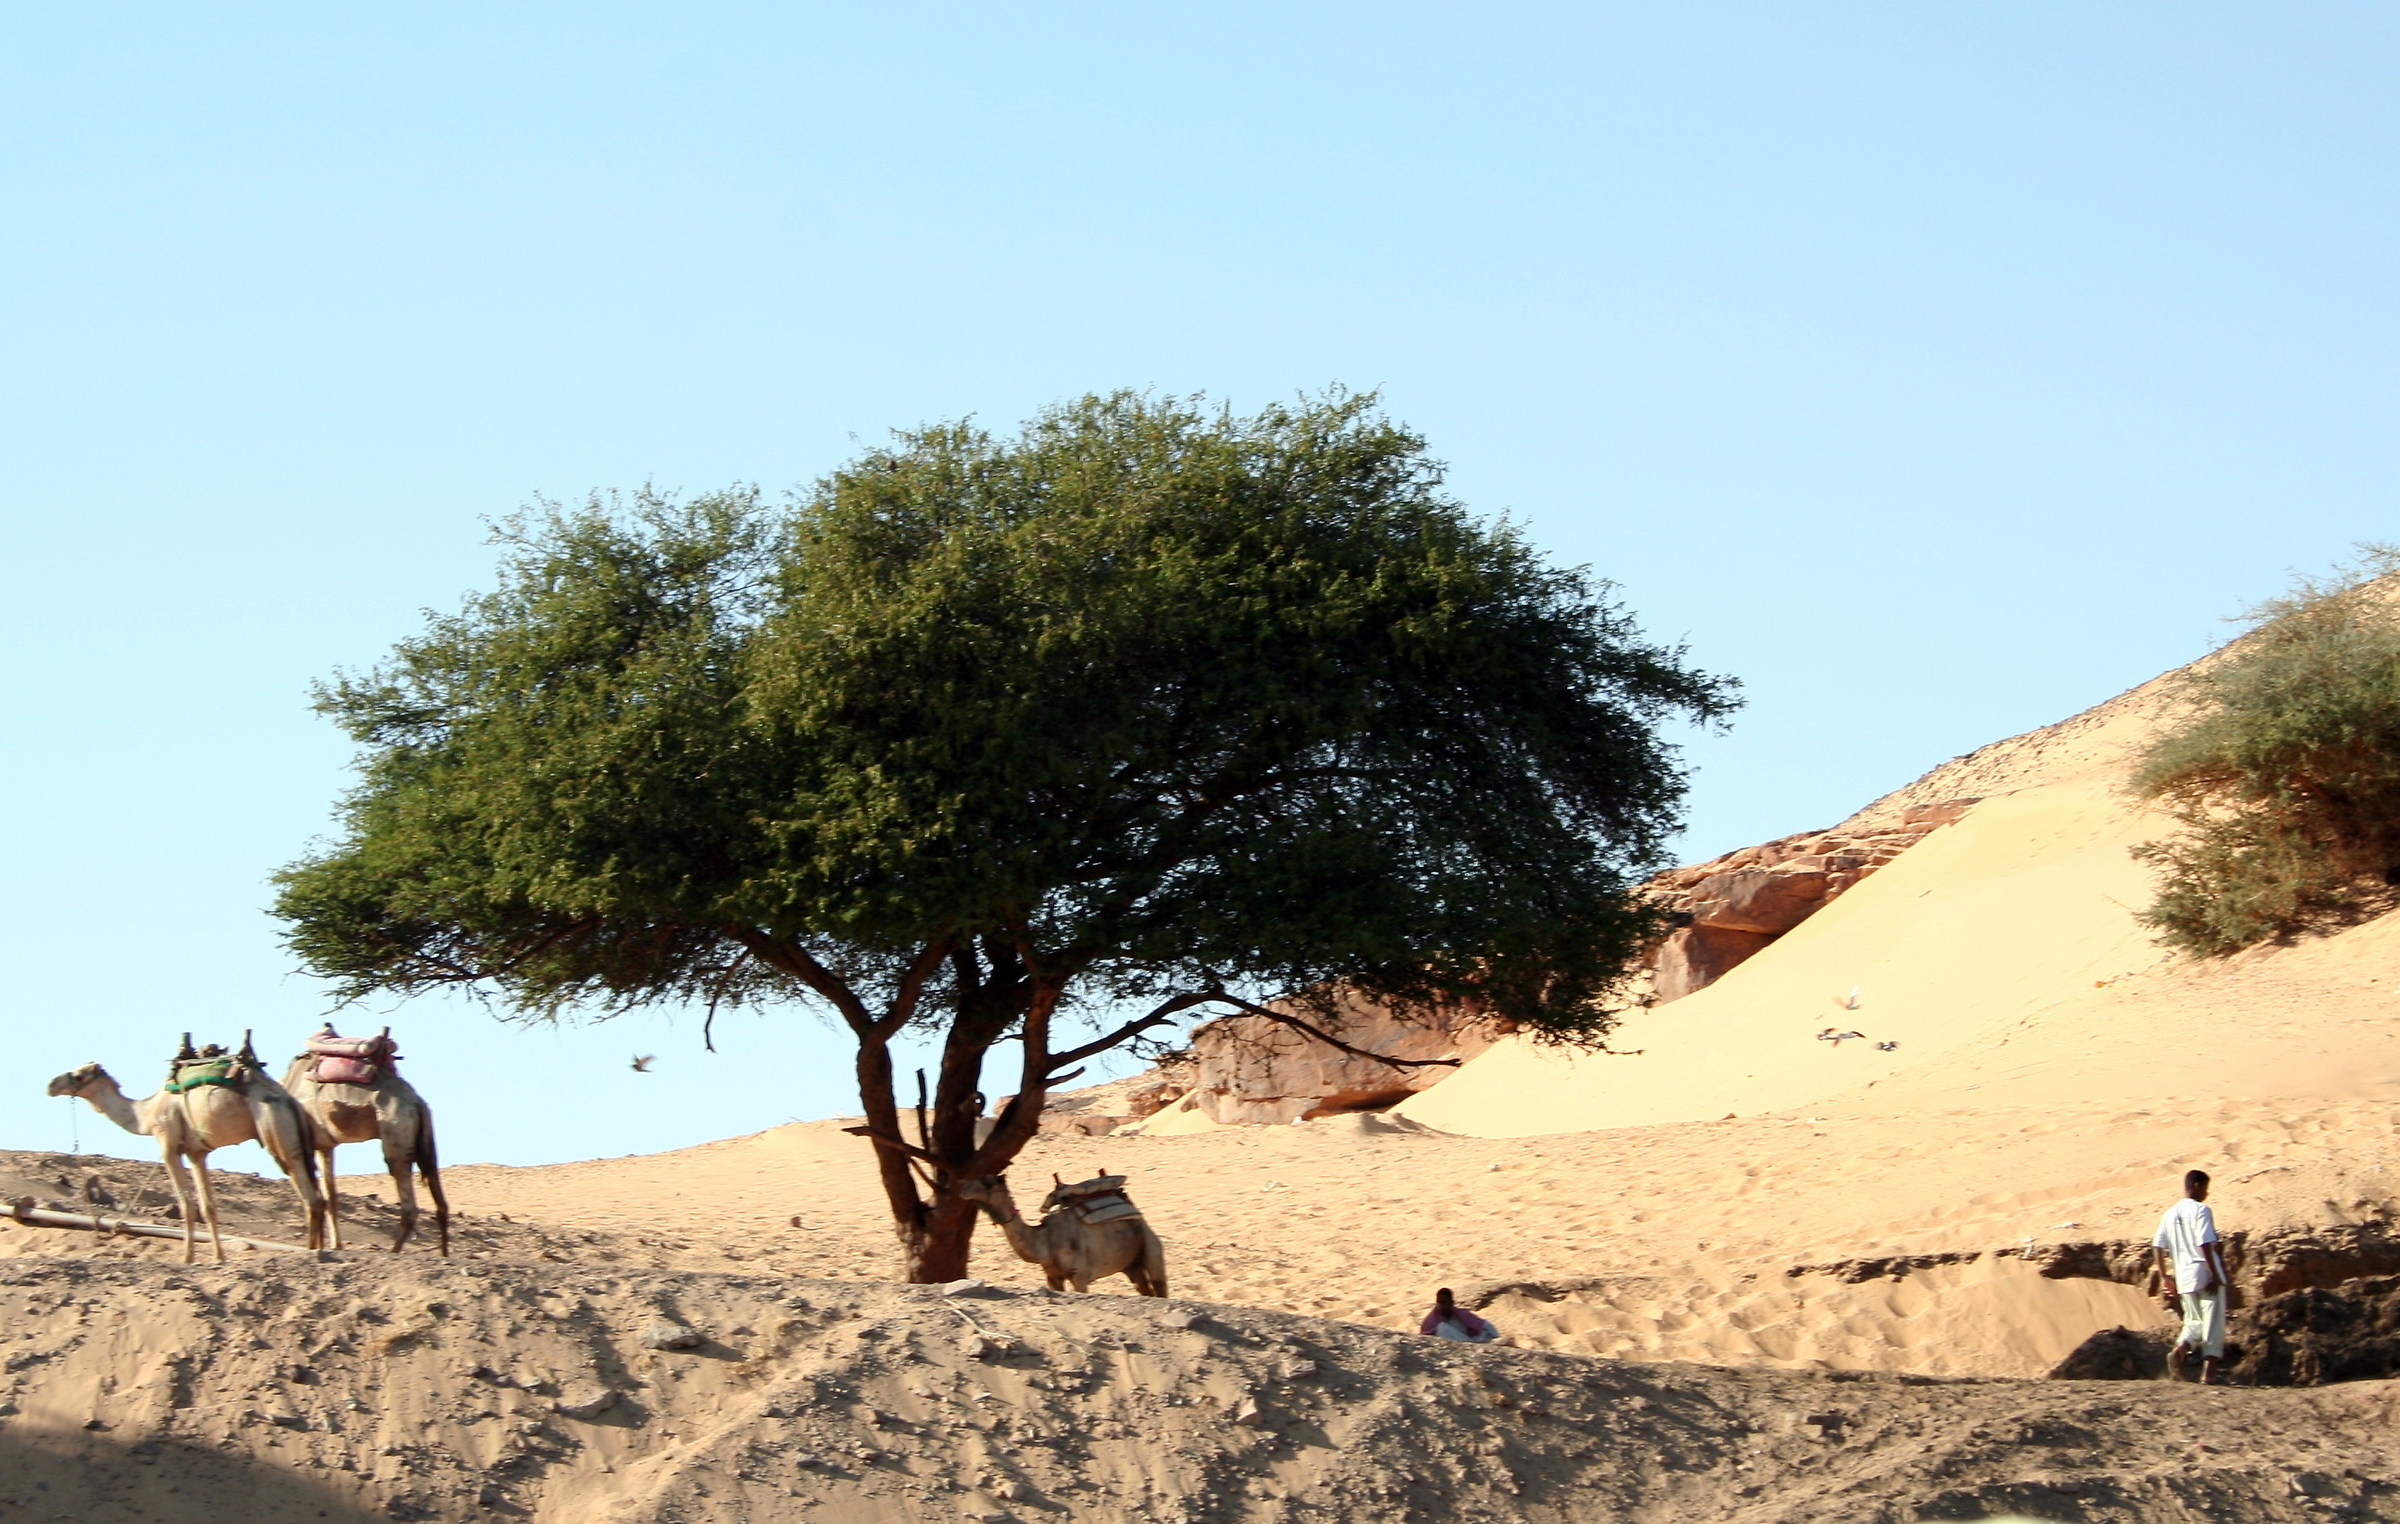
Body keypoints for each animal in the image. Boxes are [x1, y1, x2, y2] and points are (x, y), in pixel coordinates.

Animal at [46, 1036, 326, 1263]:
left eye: (79, 1075)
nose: (51, 1084)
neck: (147, 1113)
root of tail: (289, 1100)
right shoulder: (197, 1153)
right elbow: (208, 1206)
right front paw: (218, 1256)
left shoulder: (168, 1146)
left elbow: (186, 1205)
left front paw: (187, 1257)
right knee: (316, 1194)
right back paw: (320, 1248)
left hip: (275, 1130)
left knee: (308, 1194)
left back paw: (314, 1251)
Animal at [280, 1026, 450, 1255]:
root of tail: (418, 1103)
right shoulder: (325, 1145)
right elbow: (330, 1195)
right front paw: (334, 1245)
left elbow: (312, 1195)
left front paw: (316, 1246)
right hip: (427, 1141)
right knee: (440, 1200)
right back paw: (444, 1254)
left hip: (396, 1134)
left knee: (408, 1203)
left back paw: (394, 1251)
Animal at [956, 1173, 1168, 1296]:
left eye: (988, 1183)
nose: (962, 1187)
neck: (1046, 1241)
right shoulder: (1053, 1278)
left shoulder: (1080, 1275)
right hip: (1132, 1265)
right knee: (1144, 1289)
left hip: (1150, 1244)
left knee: (1159, 1284)